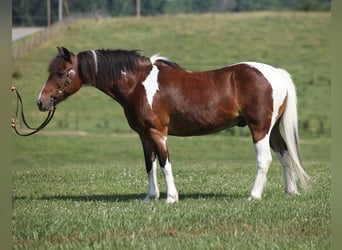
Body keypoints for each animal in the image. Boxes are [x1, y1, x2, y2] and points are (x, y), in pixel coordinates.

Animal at [36, 47, 310, 203]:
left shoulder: (159, 133)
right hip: (272, 130)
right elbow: (150, 165)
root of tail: (275, 73)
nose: (41, 101)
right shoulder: (144, 135)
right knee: (285, 155)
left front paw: (171, 198)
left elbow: (165, 164)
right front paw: (150, 197)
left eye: (61, 73)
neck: (138, 84)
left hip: (259, 129)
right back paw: (291, 192)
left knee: (265, 159)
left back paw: (253, 196)